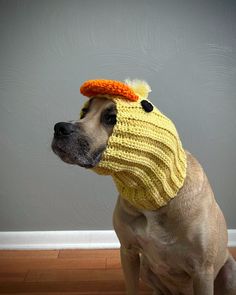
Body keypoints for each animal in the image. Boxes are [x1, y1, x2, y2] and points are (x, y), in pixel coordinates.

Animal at [51, 82, 236, 294]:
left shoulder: (202, 270)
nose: (59, 127)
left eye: (111, 118)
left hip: (230, 270)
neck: (154, 195)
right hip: (147, 269)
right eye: (84, 112)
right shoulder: (128, 251)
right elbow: (131, 286)